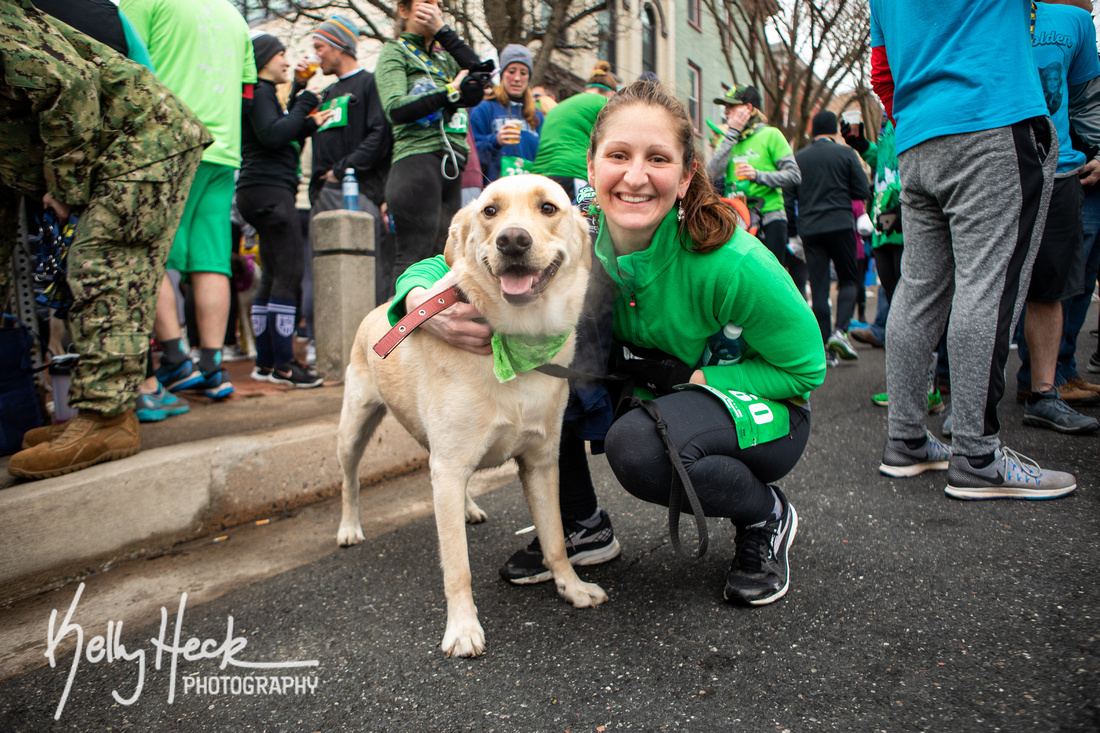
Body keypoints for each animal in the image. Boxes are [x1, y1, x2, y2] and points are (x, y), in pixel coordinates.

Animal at [336, 173, 611, 651]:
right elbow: (457, 566)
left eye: (548, 208)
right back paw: (349, 528)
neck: (516, 341)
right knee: (350, 480)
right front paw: (463, 628)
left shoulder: (541, 462)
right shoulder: (448, 467)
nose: (513, 240)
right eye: (489, 211)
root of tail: (378, 308)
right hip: (354, 429)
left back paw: (467, 507)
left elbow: (556, 539)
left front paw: (571, 587)